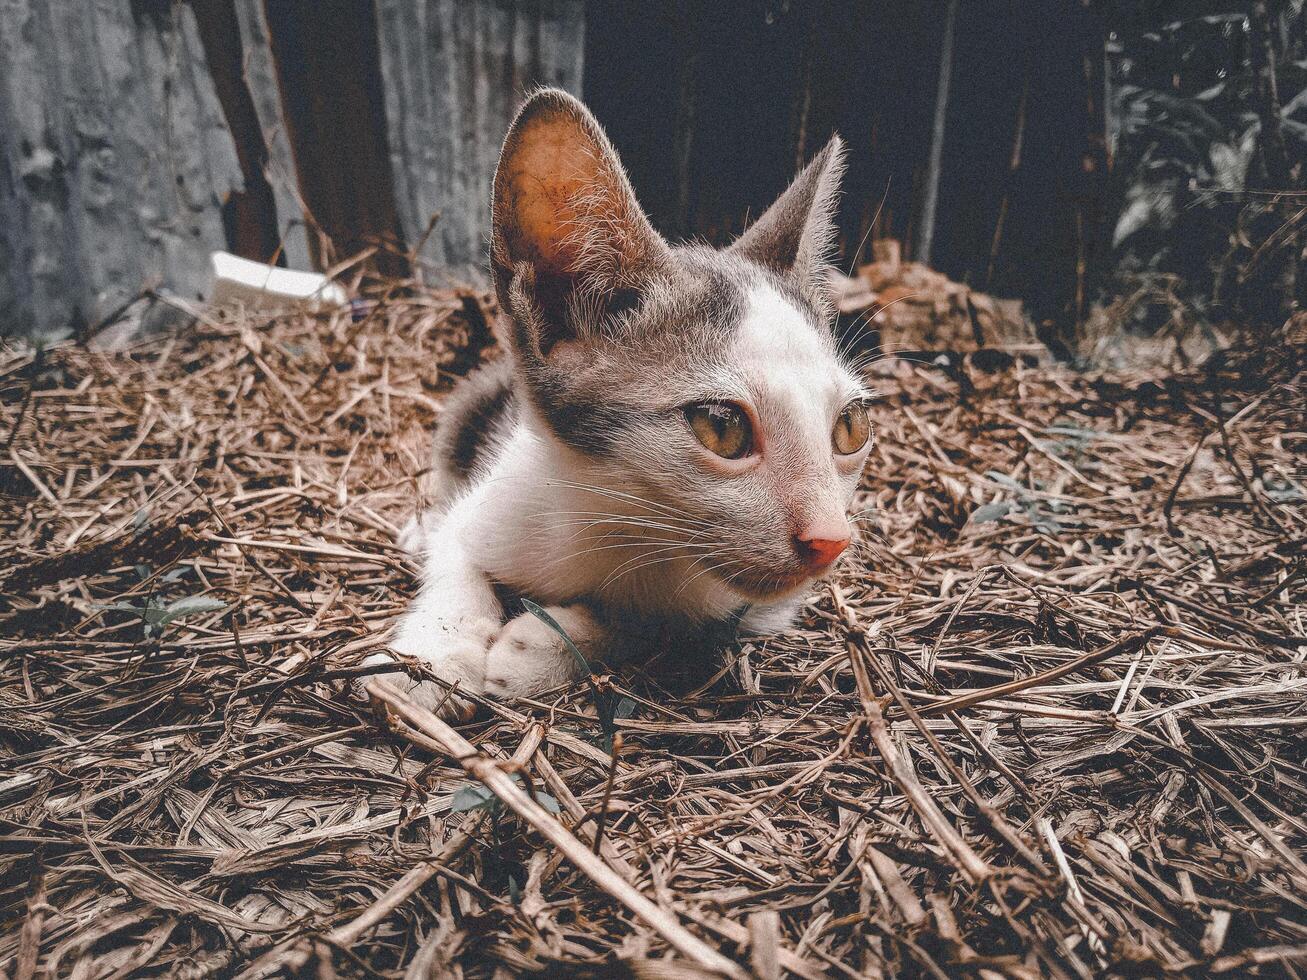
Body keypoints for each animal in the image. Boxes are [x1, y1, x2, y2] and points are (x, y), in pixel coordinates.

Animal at [373, 88, 873, 716]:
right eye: (722, 426)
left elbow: (663, 627)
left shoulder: (756, 607)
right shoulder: (494, 502)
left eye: (851, 427)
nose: (833, 540)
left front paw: (543, 647)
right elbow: (455, 562)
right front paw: (430, 660)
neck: (613, 521)